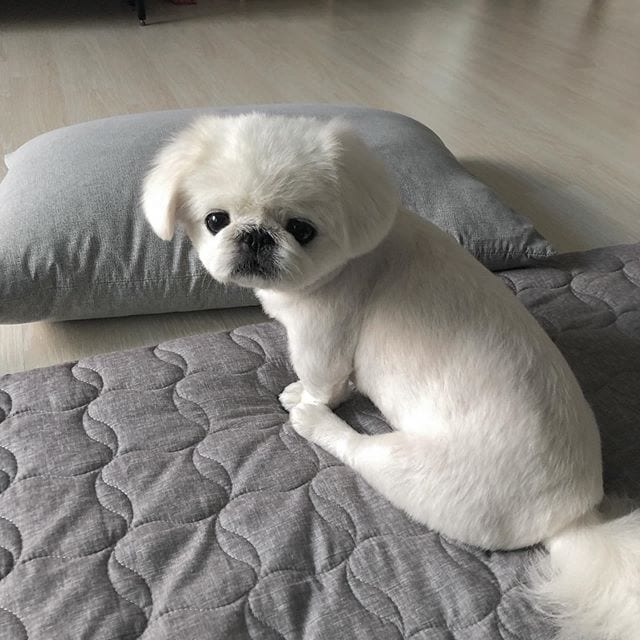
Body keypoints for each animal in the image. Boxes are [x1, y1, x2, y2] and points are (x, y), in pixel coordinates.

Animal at [144, 115, 640, 640]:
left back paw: (315, 425)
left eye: (301, 229)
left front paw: (306, 399)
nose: (255, 235)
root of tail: (570, 519)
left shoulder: (319, 339)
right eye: (216, 220)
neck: (352, 257)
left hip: (402, 466)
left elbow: (322, 384)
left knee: (355, 449)